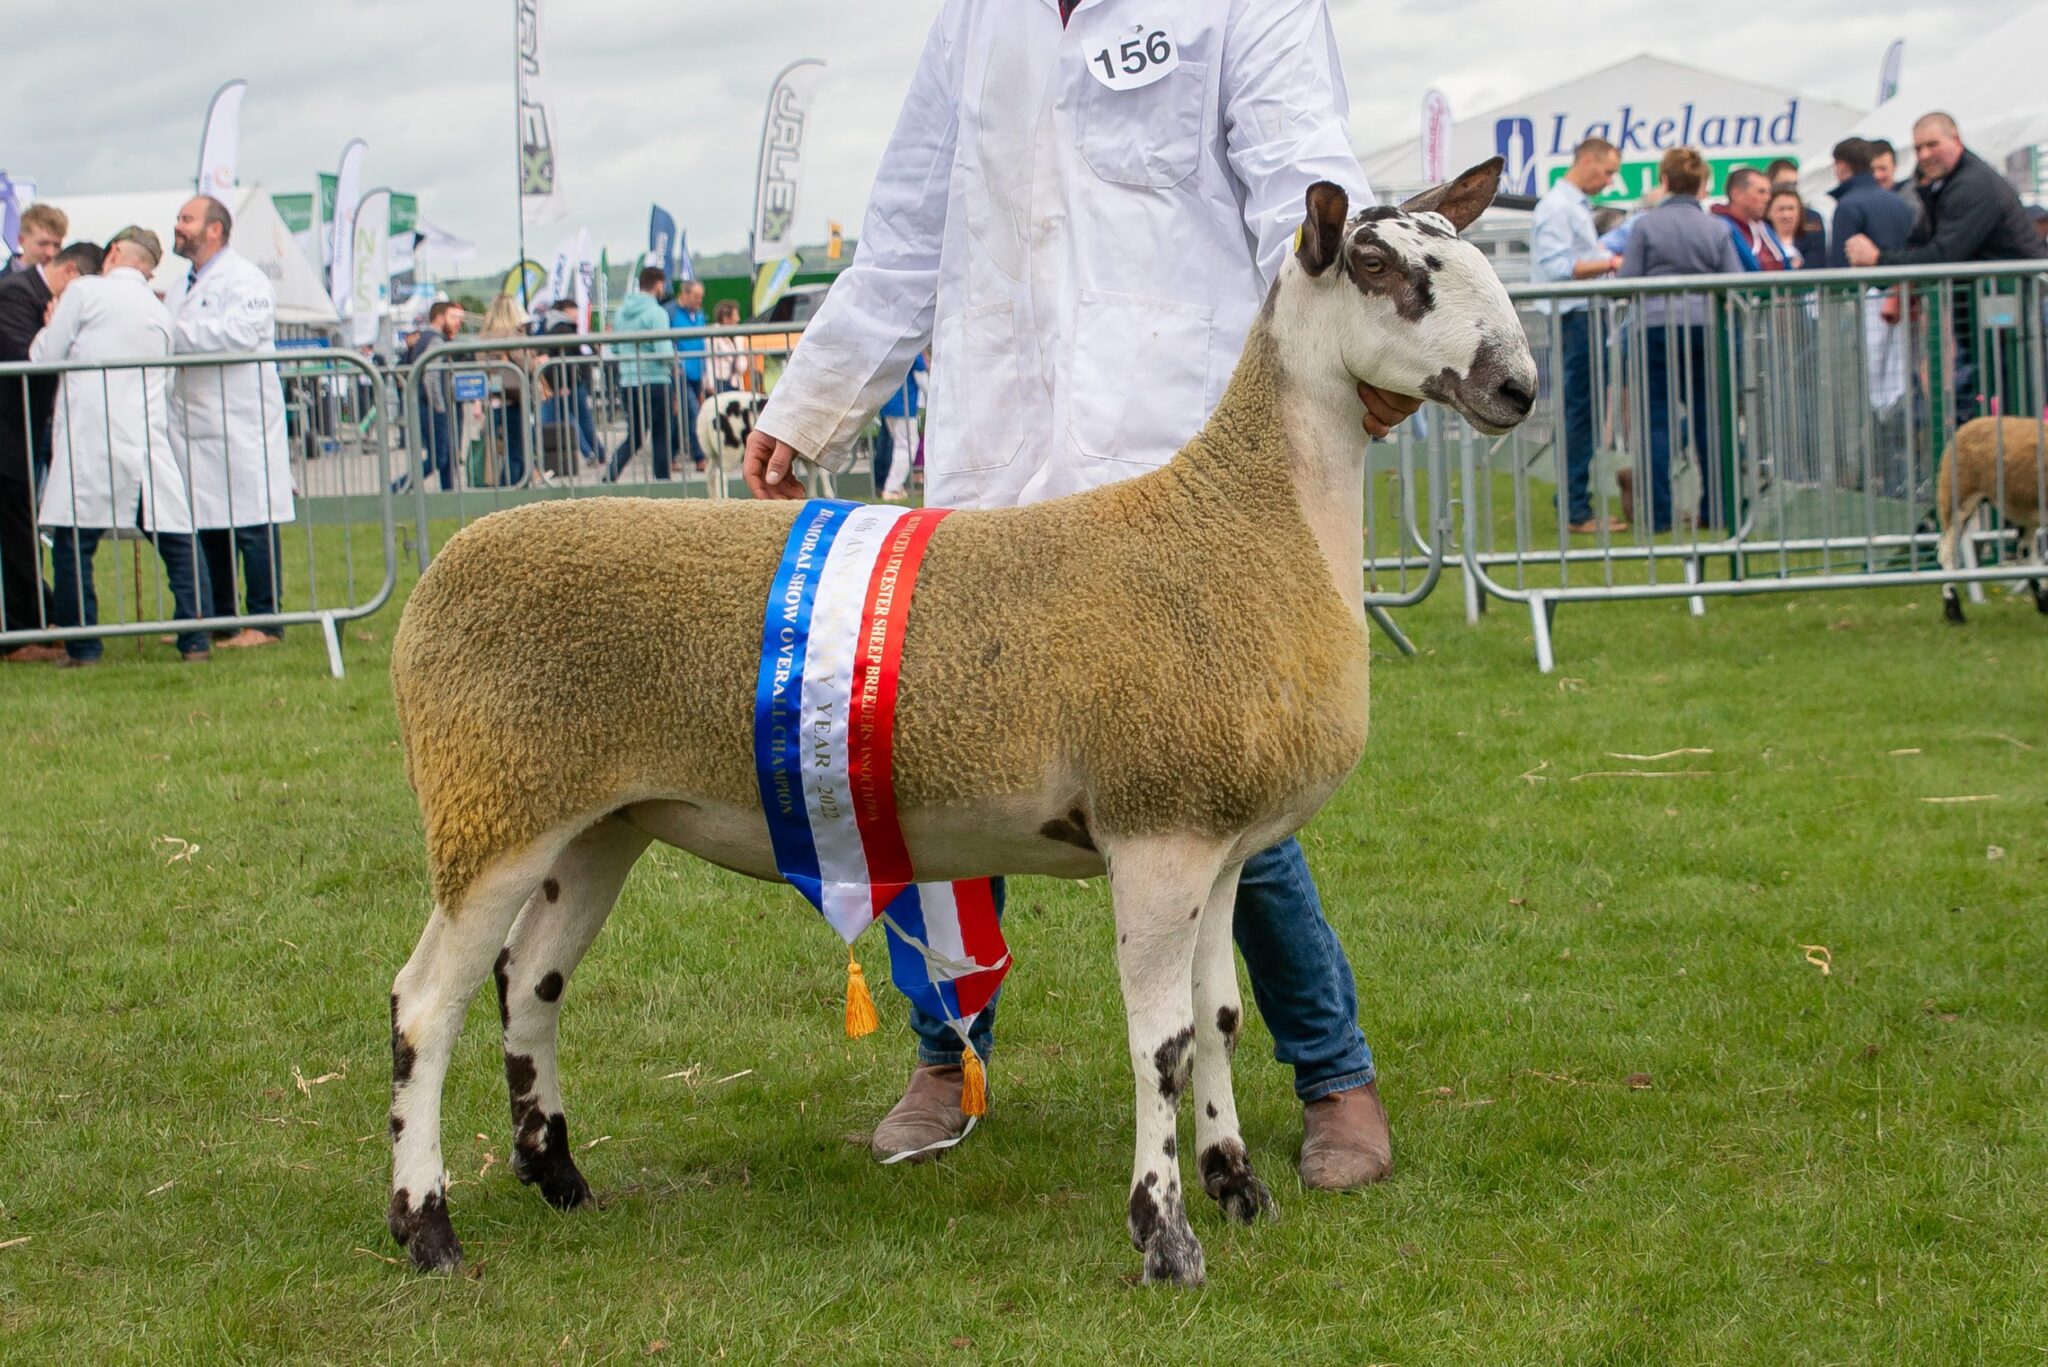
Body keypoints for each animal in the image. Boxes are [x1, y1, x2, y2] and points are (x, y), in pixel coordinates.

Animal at [385, 157, 1540, 1287]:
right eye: (1379, 266)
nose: (1516, 387)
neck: (1242, 525)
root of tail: (443, 568)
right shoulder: (1156, 831)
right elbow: (1160, 1044)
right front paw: (1164, 1234)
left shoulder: (1219, 845)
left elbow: (1219, 1020)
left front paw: (1235, 1184)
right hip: (489, 805)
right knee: (424, 1002)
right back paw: (426, 1224)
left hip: (595, 820)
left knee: (529, 982)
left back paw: (557, 1173)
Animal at [1933, 418, 2048, 627]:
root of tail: (1968, 425)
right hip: (1957, 497)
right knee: (1947, 553)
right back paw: (1954, 613)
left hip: (2023, 509)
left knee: (2027, 551)